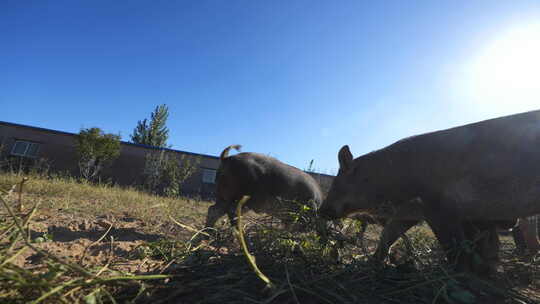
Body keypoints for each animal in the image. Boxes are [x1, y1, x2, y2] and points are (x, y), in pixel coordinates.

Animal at [318, 110, 540, 276]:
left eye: (337, 181)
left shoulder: (437, 206)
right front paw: (374, 262)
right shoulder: (412, 210)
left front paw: (460, 272)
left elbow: (451, 242)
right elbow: (389, 233)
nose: (320, 211)